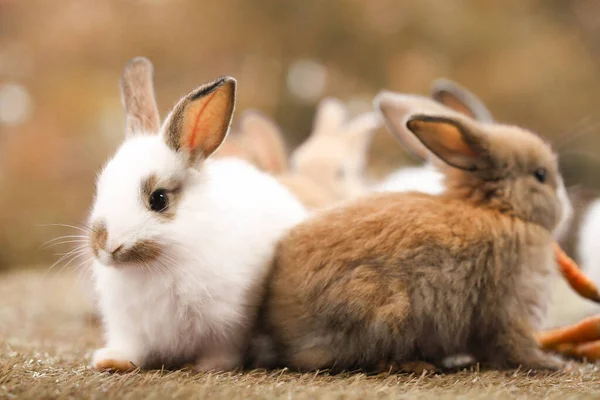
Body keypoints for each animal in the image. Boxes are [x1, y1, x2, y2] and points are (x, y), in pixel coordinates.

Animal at [264, 90, 568, 372]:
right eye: (541, 175)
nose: (564, 206)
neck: (500, 209)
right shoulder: (514, 306)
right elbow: (515, 345)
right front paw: (552, 364)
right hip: (386, 313)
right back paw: (417, 365)